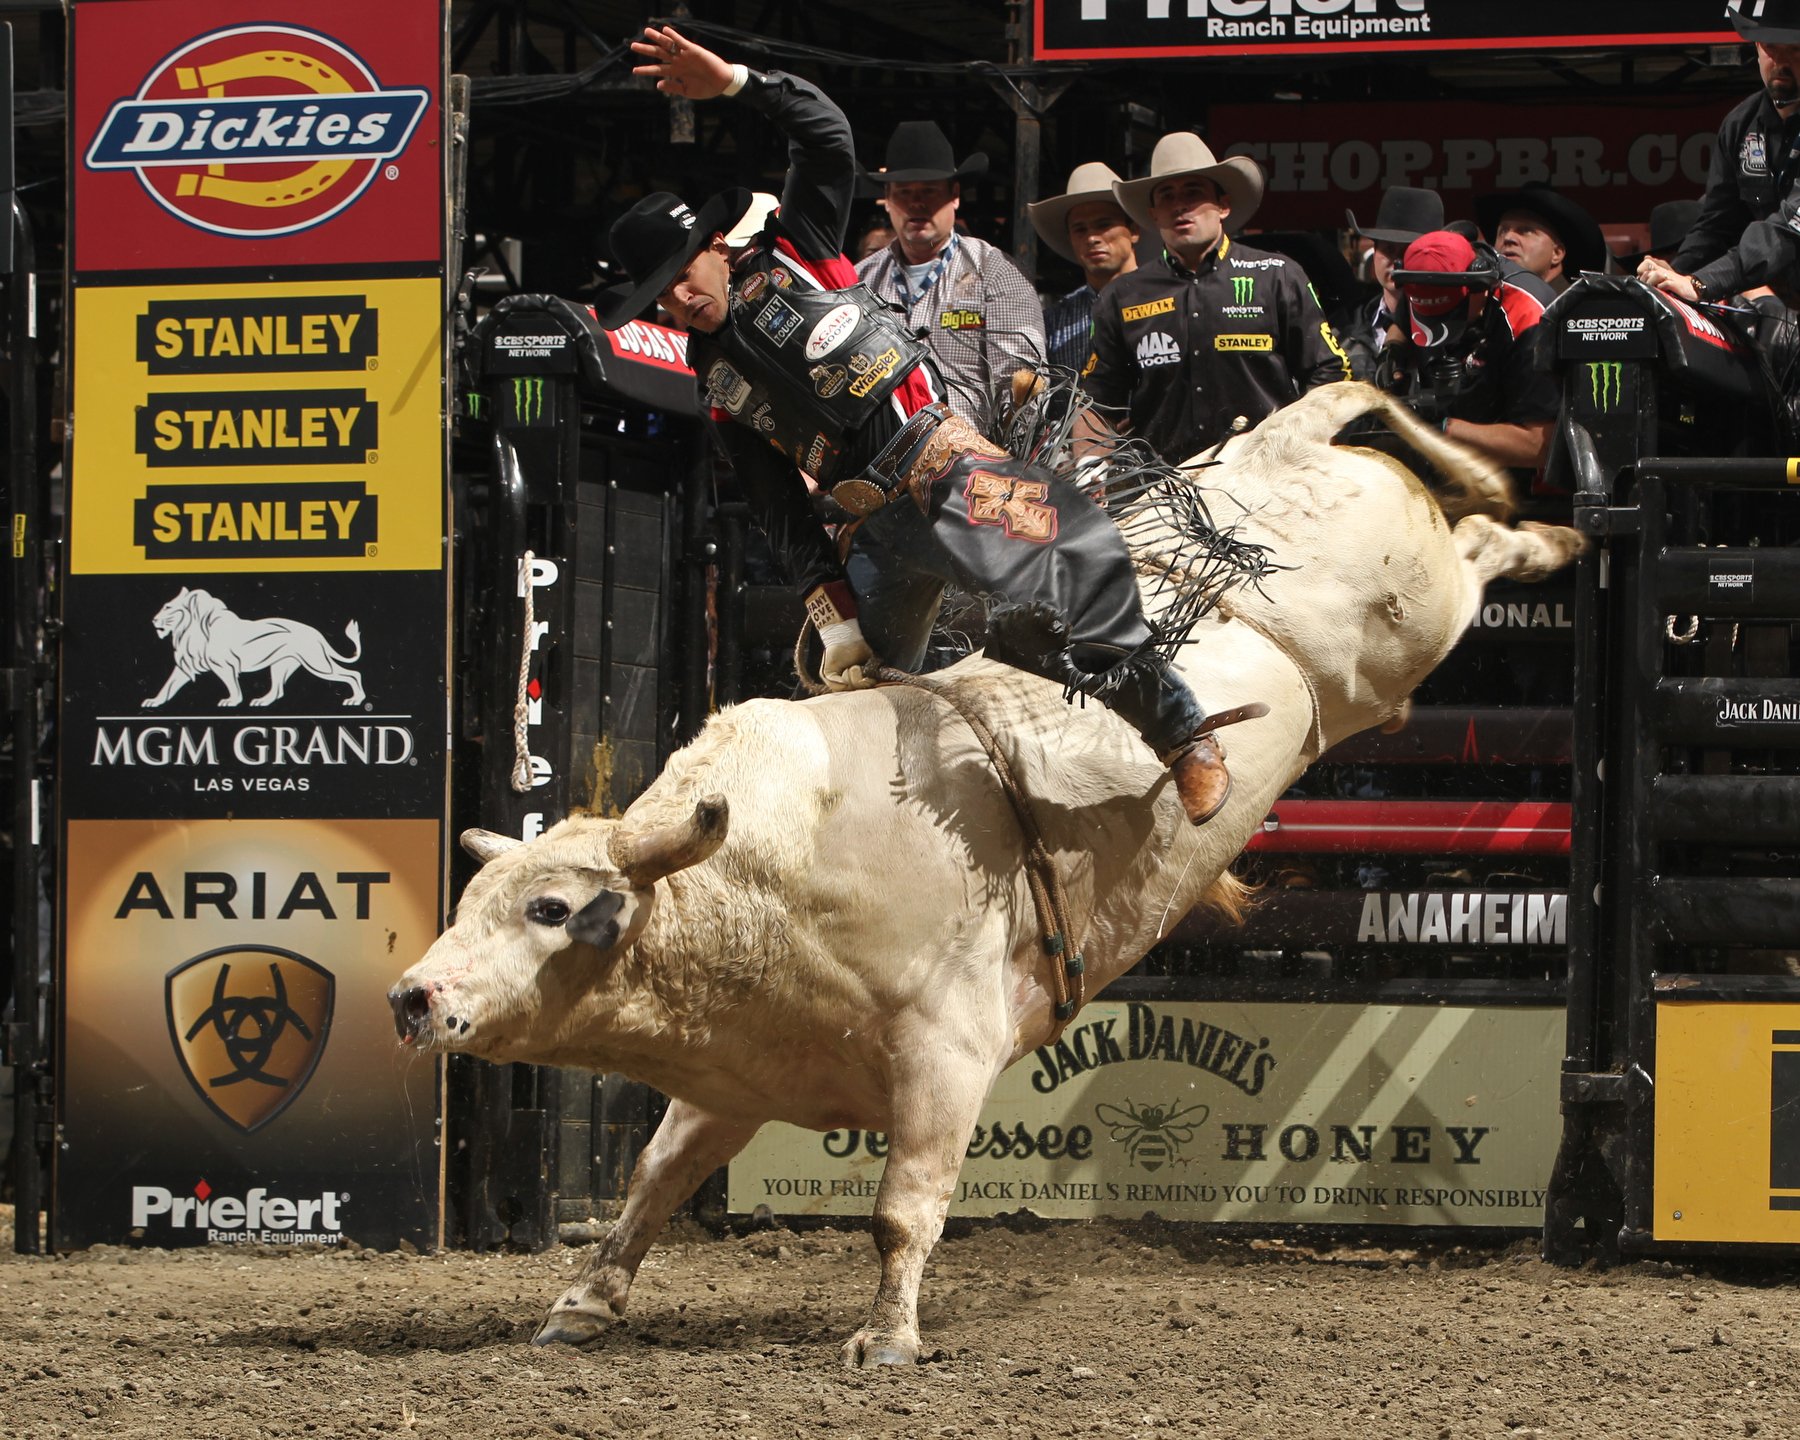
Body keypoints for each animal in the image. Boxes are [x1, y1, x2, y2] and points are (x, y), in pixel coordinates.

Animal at [390, 385, 1576, 1375]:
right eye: (468, 905)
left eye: (551, 909)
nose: (413, 995)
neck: (766, 877)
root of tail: (1278, 447)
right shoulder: (735, 1076)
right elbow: (654, 1179)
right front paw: (582, 1306)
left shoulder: (948, 1054)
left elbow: (901, 1209)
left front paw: (885, 1340)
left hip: (1420, 616)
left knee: (1478, 545)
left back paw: (1550, 532)